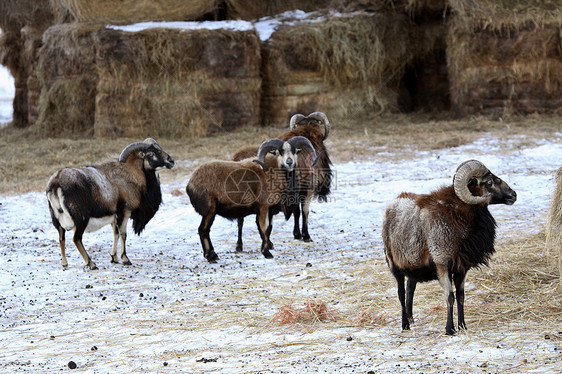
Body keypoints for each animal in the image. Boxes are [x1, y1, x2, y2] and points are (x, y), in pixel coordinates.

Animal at [46, 137, 175, 268]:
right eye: (152, 153)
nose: (171, 161)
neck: (130, 176)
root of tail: (56, 184)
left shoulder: (114, 218)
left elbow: (115, 234)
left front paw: (114, 258)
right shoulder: (124, 213)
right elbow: (123, 234)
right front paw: (125, 259)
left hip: (57, 221)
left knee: (61, 238)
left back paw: (64, 263)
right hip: (81, 220)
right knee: (76, 239)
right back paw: (91, 264)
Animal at [380, 159, 516, 334]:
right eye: (489, 182)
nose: (513, 195)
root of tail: (394, 202)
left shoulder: (461, 267)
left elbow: (461, 296)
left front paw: (463, 326)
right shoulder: (442, 263)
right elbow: (450, 297)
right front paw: (450, 329)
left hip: (413, 265)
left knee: (410, 287)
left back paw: (411, 319)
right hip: (394, 265)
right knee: (401, 292)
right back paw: (405, 325)